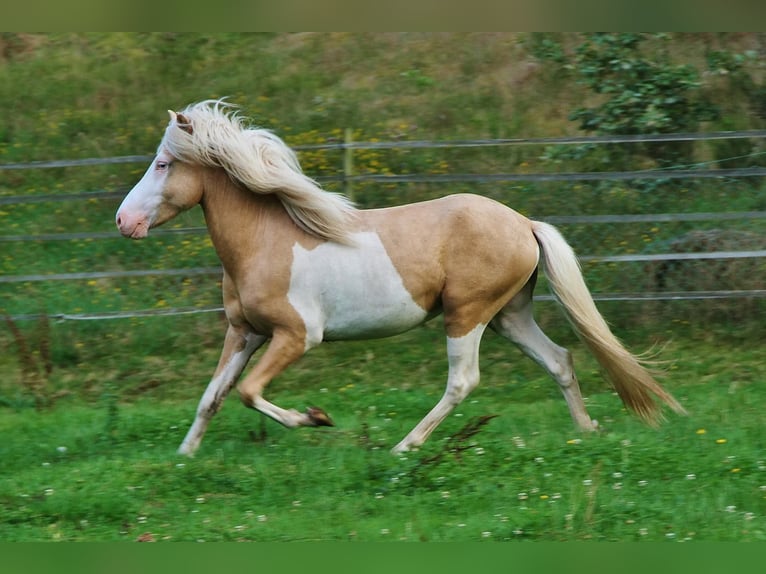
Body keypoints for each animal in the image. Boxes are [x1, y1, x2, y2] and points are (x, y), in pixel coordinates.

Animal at [116, 99, 686, 457]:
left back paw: (404, 446)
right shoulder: (244, 333)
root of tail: (524, 223)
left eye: (163, 164)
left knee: (463, 381)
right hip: (509, 315)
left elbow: (250, 393)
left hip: (467, 315)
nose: (124, 222)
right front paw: (184, 455)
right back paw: (586, 432)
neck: (266, 242)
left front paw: (316, 418)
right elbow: (212, 397)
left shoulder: (297, 336)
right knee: (560, 360)